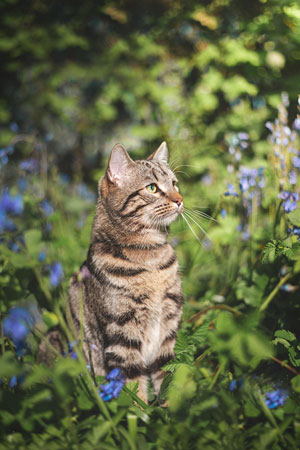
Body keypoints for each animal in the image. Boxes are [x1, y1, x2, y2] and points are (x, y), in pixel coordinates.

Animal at [68, 142, 184, 402]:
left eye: (174, 183)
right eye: (152, 188)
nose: (180, 199)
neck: (151, 259)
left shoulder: (167, 329)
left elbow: (168, 380)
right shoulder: (122, 334)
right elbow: (133, 392)